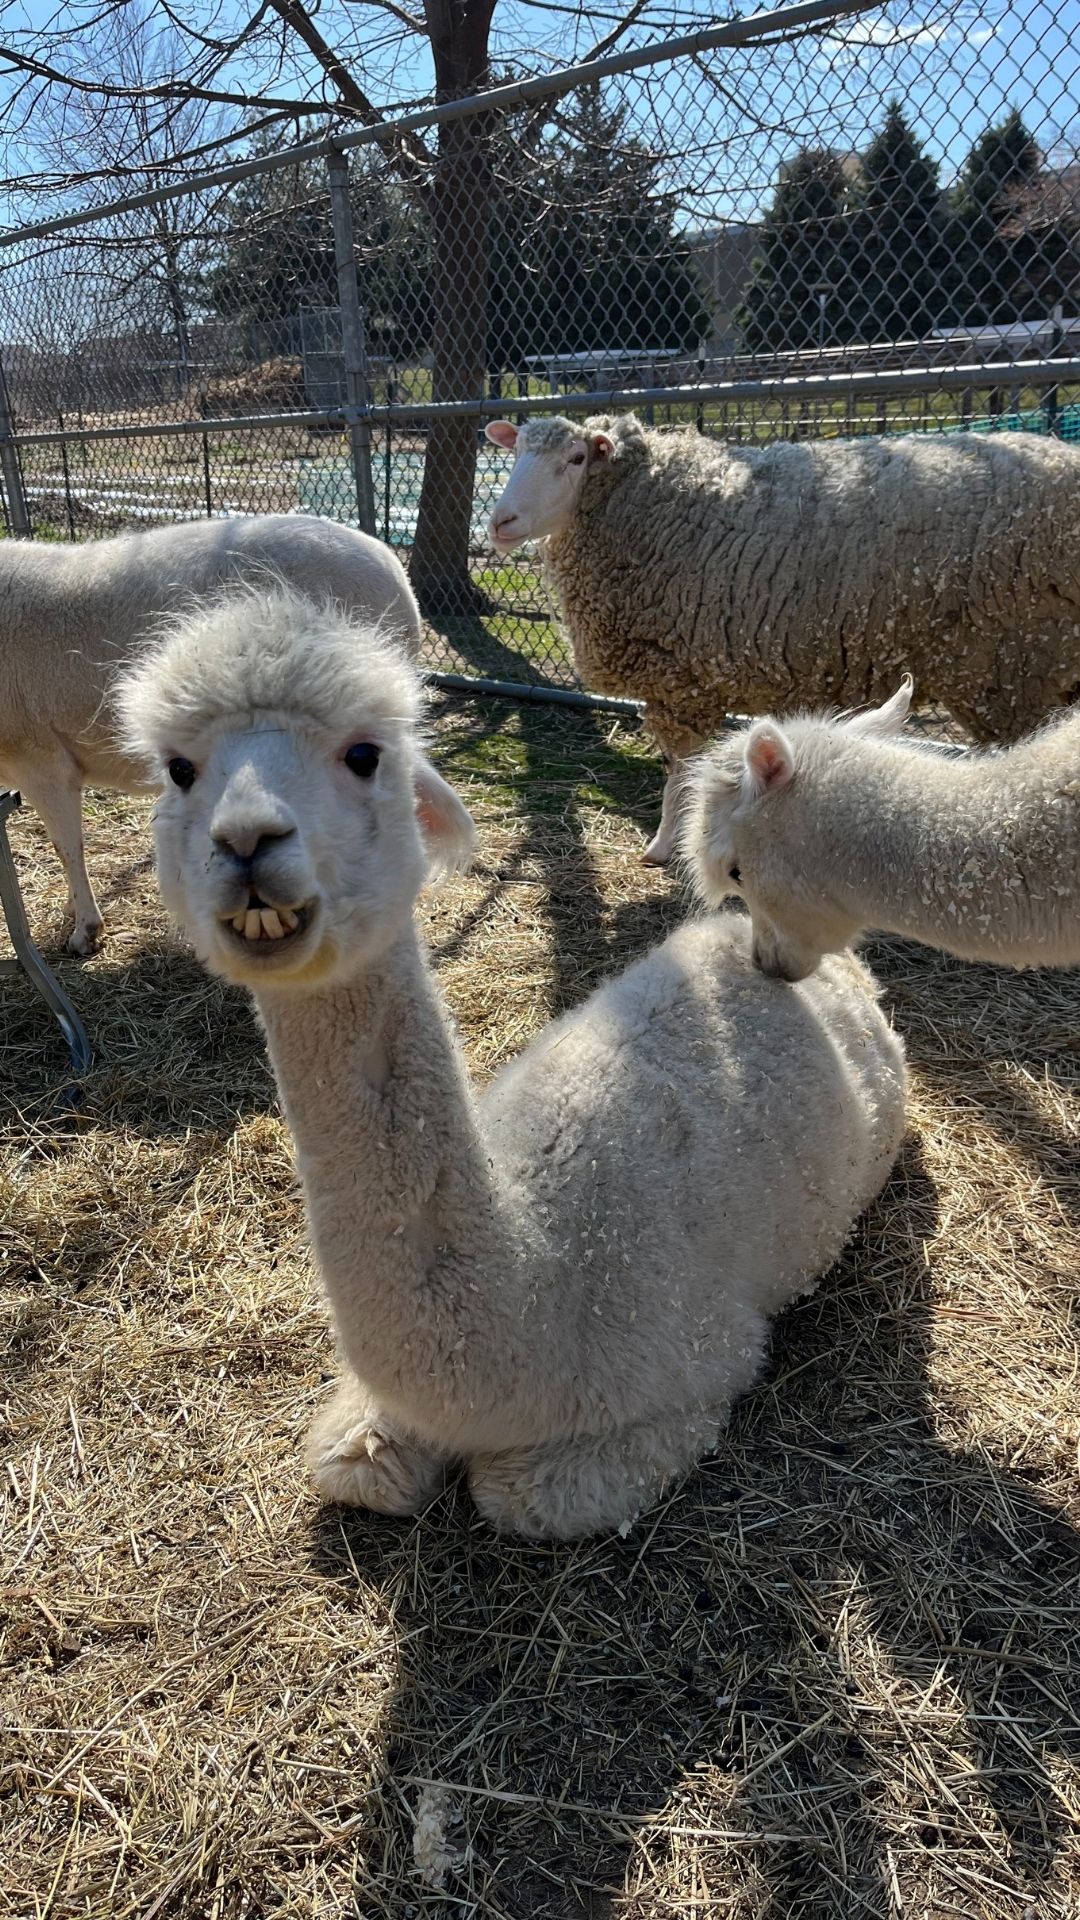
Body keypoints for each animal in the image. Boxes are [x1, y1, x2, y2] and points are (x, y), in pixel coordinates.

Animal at [115, 583, 907, 1543]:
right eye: (179, 770)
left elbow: (519, 1495)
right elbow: (351, 1463)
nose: (247, 842)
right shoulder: (373, 1424)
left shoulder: (692, 1368)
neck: (539, 1278)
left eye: (365, 754)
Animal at [484, 416, 1076, 867]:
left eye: (576, 459)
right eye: (514, 453)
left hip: (1007, 661)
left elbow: (680, 772)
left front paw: (664, 846)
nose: (499, 523)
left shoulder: (678, 681)